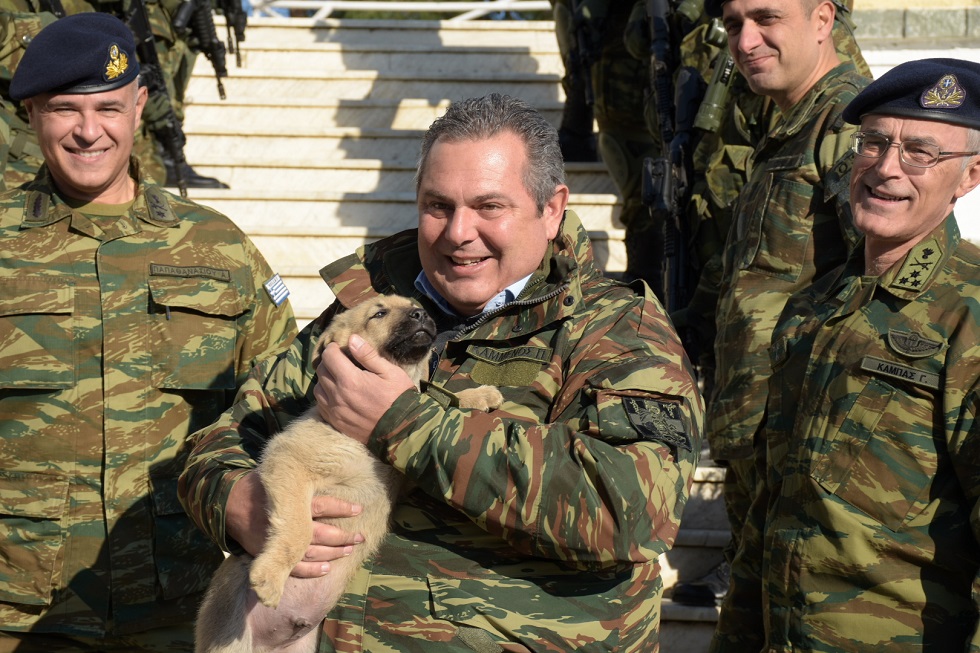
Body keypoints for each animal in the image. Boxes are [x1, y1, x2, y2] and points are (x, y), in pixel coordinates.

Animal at [197, 296, 506, 652]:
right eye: (379, 313)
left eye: (415, 306)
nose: (423, 313)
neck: (363, 440)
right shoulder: (287, 460)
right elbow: (298, 529)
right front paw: (271, 575)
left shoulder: (406, 464)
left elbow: (430, 400)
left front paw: (478, 396)